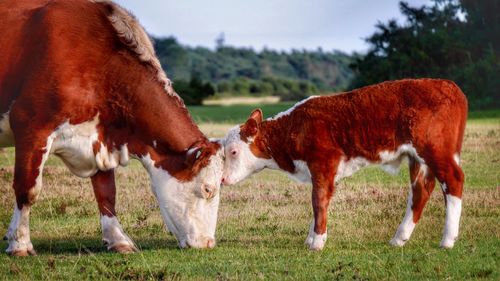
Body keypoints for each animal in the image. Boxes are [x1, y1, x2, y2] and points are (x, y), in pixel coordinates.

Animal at [0, 0, 223, 255]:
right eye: (208, 189)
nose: (208, 242)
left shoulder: (100, 138)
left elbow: (107, 194)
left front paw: (118, 239)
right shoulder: (31, 128)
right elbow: (27, 189)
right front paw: (19, 242)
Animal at [223, 78, 468, 249]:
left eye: (233, 151)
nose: (223, 179)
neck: (295, 128)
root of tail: (448, 85)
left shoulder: (323, 163)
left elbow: (318, 200)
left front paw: (317, 243)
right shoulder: (324, 171)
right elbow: (319, 203)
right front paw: (312, 237)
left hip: (435, 150)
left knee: (454, 180)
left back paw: (447, 240)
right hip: (418, 158)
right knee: (420, 190)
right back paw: (399, 238)